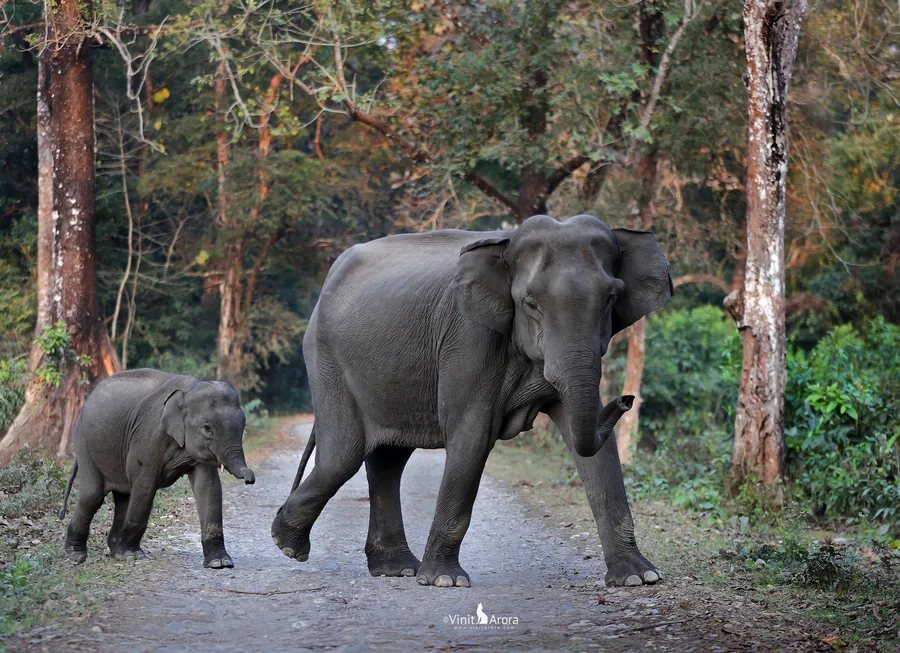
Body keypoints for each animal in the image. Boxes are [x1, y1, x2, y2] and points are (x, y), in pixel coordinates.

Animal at [59, 369, 256, 568]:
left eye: (244, 425)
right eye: (207, 429)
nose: (250, 479)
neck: (189, 390)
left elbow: (209, 487)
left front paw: (220, 563)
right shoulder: (147, 436)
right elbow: (145, 487)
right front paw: (133, 556)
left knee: (123, 497)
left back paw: (115, 553)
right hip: (83, 444)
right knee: (93, 496)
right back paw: (76, 555)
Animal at [271, 214, 673, 588]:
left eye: (611, 298)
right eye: (531, 303)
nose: (626, 398)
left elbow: (594, 449)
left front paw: (639, 578)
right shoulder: (468, 336)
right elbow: (472, 434)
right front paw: (445, 581)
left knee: (386, 459)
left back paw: (393, 568)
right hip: (326, 358)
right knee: (344, 455)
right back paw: (287, 545)